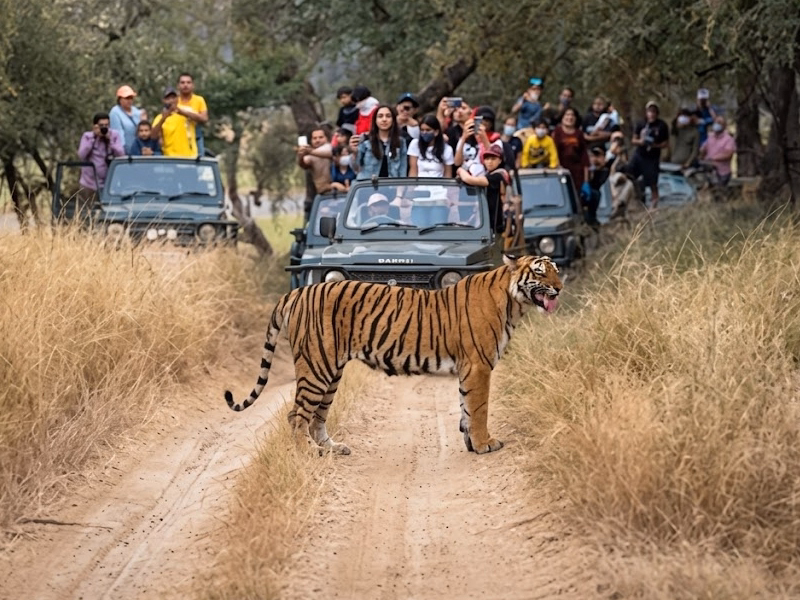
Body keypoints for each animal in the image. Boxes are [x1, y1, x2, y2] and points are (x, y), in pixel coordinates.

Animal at [224, 254, 562, 455]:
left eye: (556, 271)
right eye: (540, 273)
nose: (560, 287)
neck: (514, 302)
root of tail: (296, 292)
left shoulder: (470, 369)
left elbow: (466, 408)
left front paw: (470, 442)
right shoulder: (478, 366)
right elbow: (479, 409)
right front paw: (484, 444)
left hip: (330, 371)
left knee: (316, 416)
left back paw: (333, 448)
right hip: (316, 366)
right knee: (296, 415)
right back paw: (309, 452)